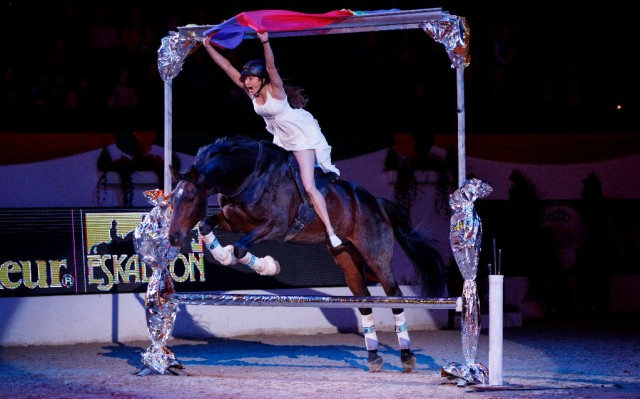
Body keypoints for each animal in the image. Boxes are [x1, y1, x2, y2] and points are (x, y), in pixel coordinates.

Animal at [168, 136, 442, 374]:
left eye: (190, 197)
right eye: (173, 199)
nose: (173, 237)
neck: (248, 176)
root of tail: (376, 202)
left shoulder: (275, 226)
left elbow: (241, 248)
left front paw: (267, 266)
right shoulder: (233, 222)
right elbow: (208, 226)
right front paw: (224, 256)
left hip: (376, 256)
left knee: (394, 296)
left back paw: (406, 356)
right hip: (346, 257)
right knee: (364, 300)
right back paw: (374, 358)